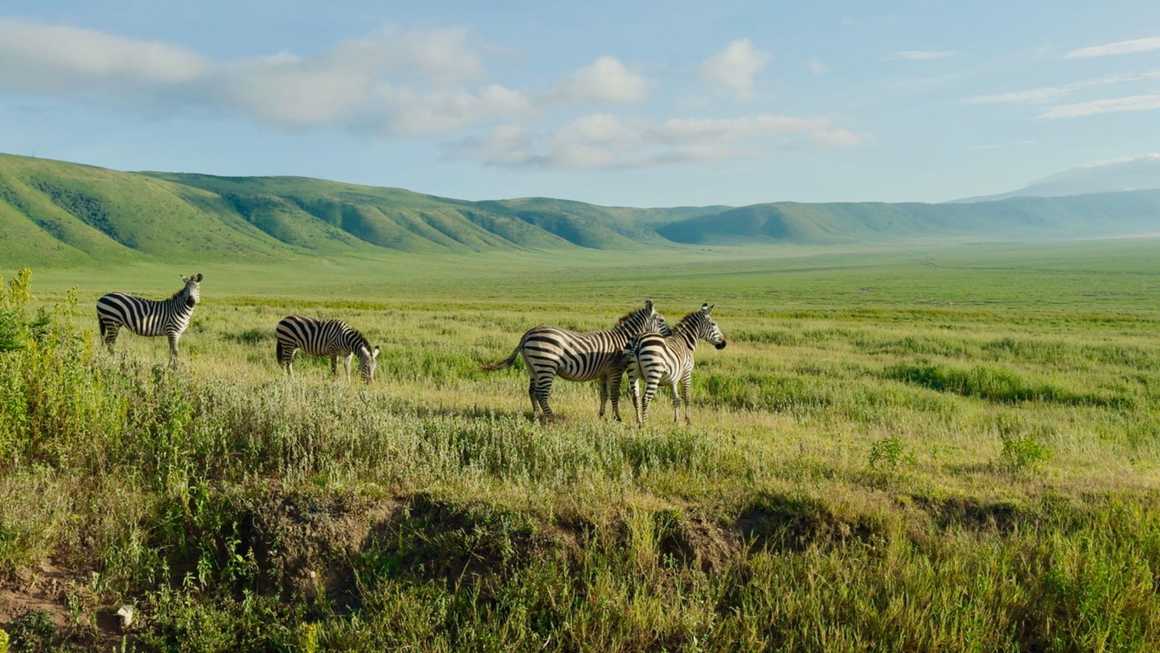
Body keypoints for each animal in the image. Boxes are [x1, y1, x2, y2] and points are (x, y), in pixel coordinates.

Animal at [482, 300, 670, 421]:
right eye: (661, 320)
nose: (670, 334)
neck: (623, 340)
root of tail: (528, 333)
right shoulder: (615, 370)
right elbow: (615, 394)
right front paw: (617, 418)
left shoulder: (603, 373)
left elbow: (604, 394)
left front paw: (601, 416)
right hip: (546, 365)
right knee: (541, 393)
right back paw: (551, 418)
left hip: (533, 367)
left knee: (531, 391)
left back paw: (536, 416)